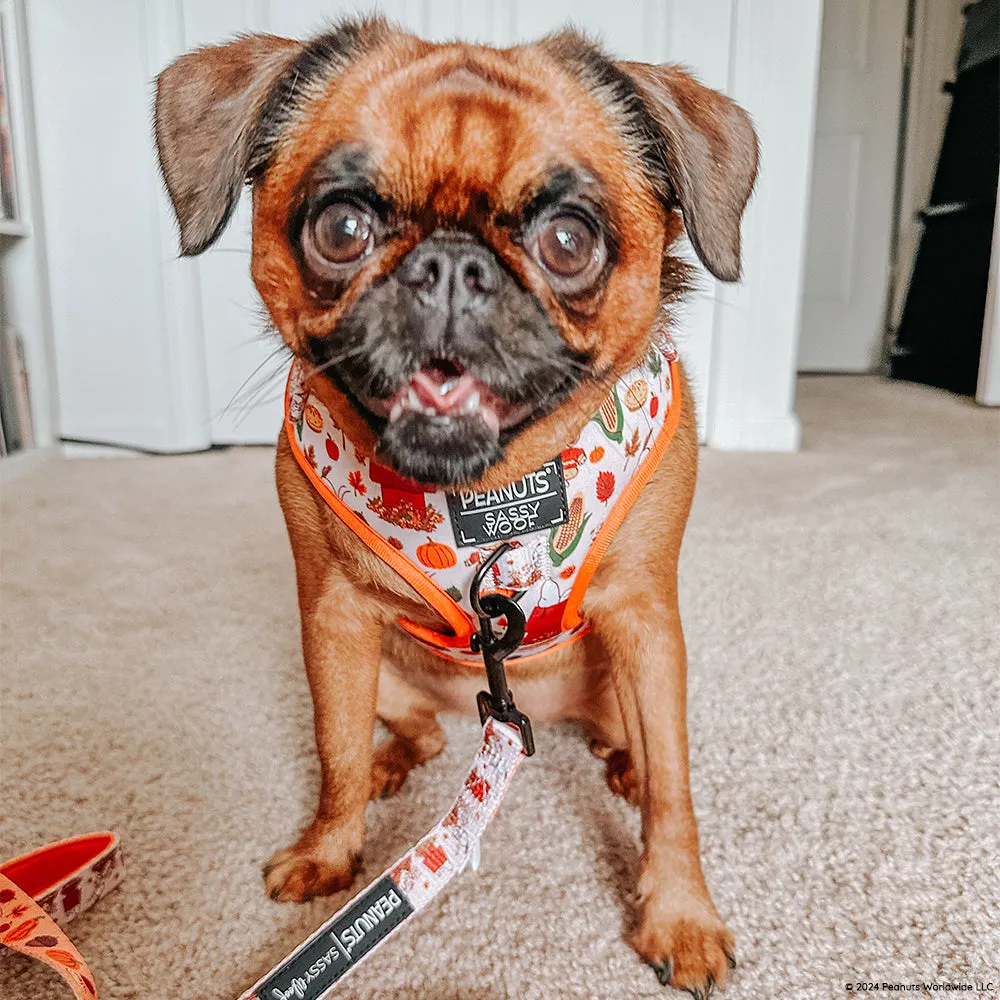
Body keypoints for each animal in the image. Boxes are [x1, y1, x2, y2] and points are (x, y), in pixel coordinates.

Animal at [152, 15, 752, 992]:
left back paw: (619, 762)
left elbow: (676, 792)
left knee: (634, 744)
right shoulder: (332, 619)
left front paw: (680, 915)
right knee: (412, 736)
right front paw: (331, 849)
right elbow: (333, 751)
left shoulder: (648, 621)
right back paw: (397, 762)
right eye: (342, 228)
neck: (488, 491)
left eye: (568, 242)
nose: (449, 266)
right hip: (382, 669)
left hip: (632, 676)